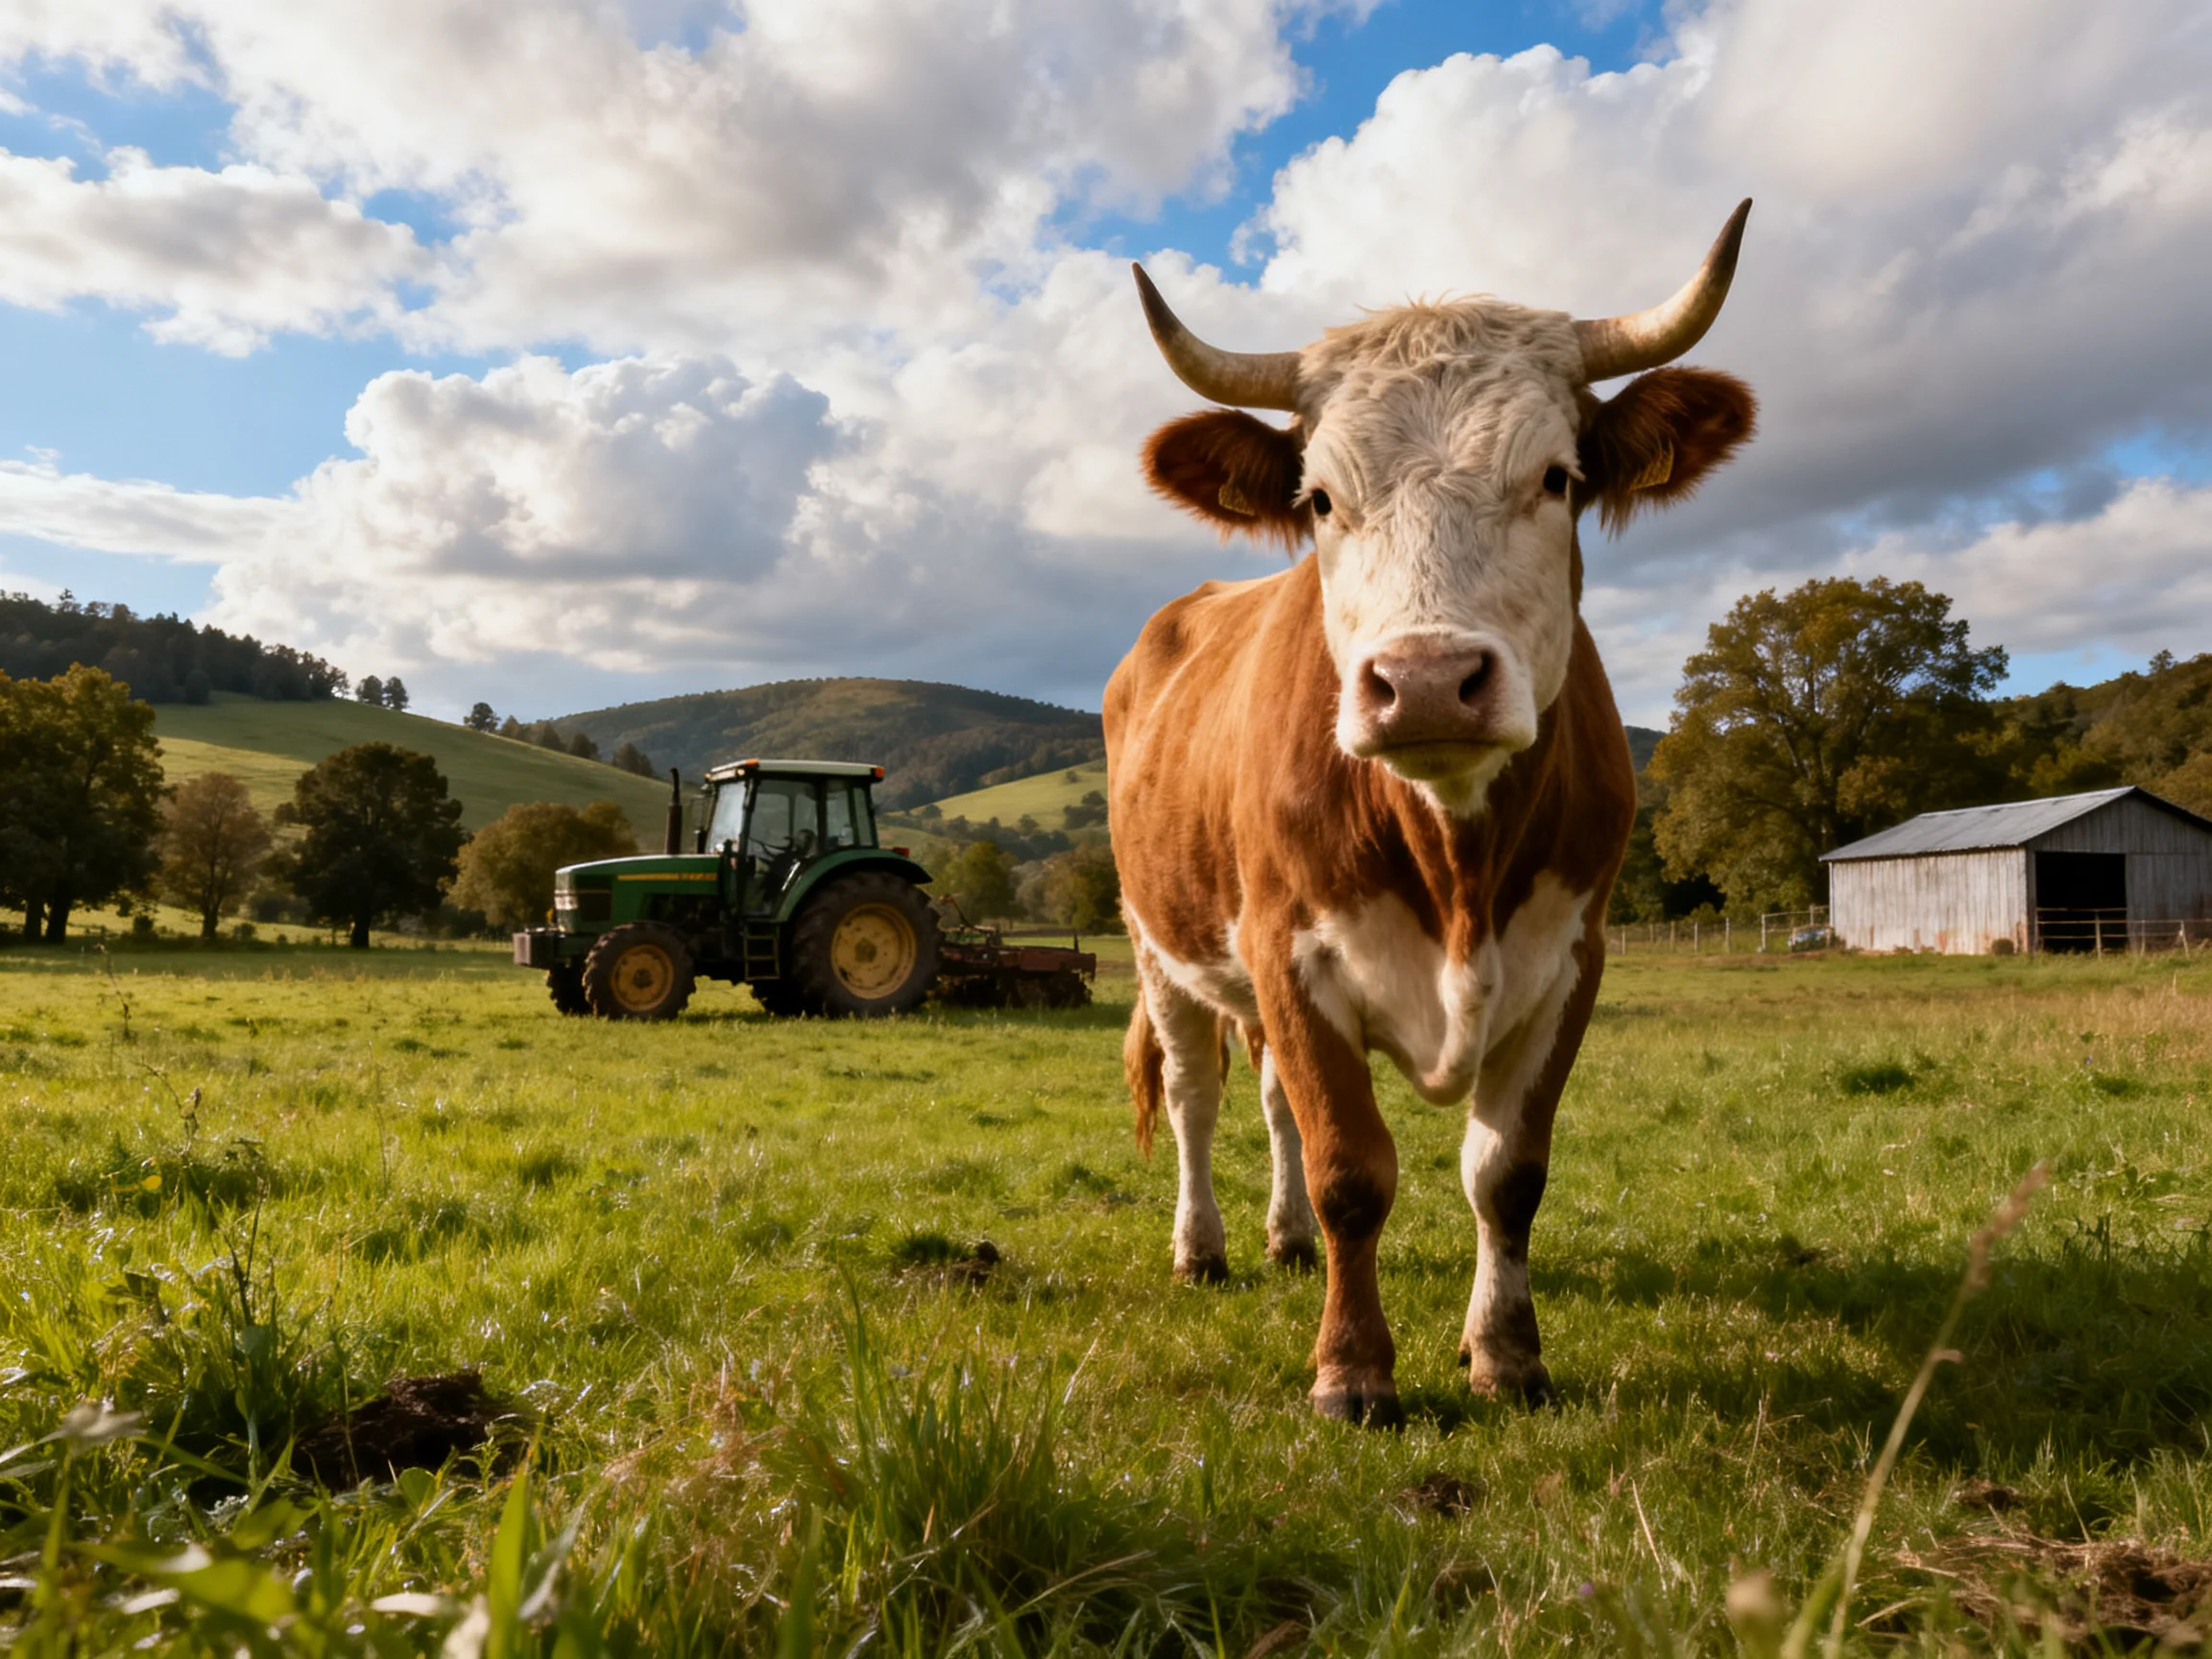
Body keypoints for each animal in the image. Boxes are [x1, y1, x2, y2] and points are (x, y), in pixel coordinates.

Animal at [1106, 203, 1758, 1425]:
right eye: (1319, 499)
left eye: (1555, 478)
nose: (1423, 682)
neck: (1454, 855)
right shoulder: (1288, 950)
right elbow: (1352, 1173)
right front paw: (1353, 1372)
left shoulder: (1570, 958)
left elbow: (1506, 1173)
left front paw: (1506, 1354)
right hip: (1158, 945)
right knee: (1195, 1096)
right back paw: (1203, 1249)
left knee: (1269, 1099)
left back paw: (1283, 1243)